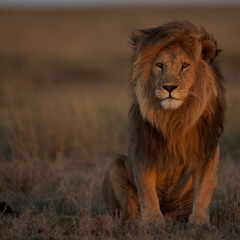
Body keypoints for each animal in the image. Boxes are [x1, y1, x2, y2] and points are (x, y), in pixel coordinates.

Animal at [102, 21, 225, 227]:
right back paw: (136, 221)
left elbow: (205, 187)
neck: (174, 118)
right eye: (159, 65)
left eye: (185, 66)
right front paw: (153, 220)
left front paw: (199, 221)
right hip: (113, 162)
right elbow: (147, 190)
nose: (169, 87)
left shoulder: (207, 151)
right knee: (128, 209)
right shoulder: (143, 150)